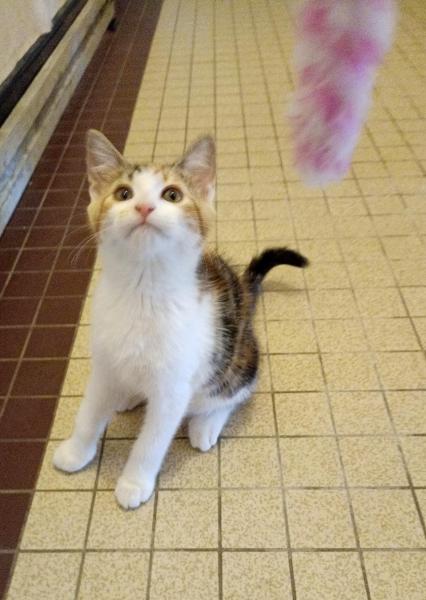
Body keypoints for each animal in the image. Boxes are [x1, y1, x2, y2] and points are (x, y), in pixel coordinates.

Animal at [53, 129, 309, 509]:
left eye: (172, 195)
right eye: (123, 194)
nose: (144, 207)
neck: (142, 292)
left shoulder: (173, 389)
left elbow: (152, 441)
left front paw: (134, 482)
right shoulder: (104, 366)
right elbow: (88, 412)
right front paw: (75, 451)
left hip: (238, 358)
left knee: (233, 393)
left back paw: (205, 424)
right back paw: (128, 396)